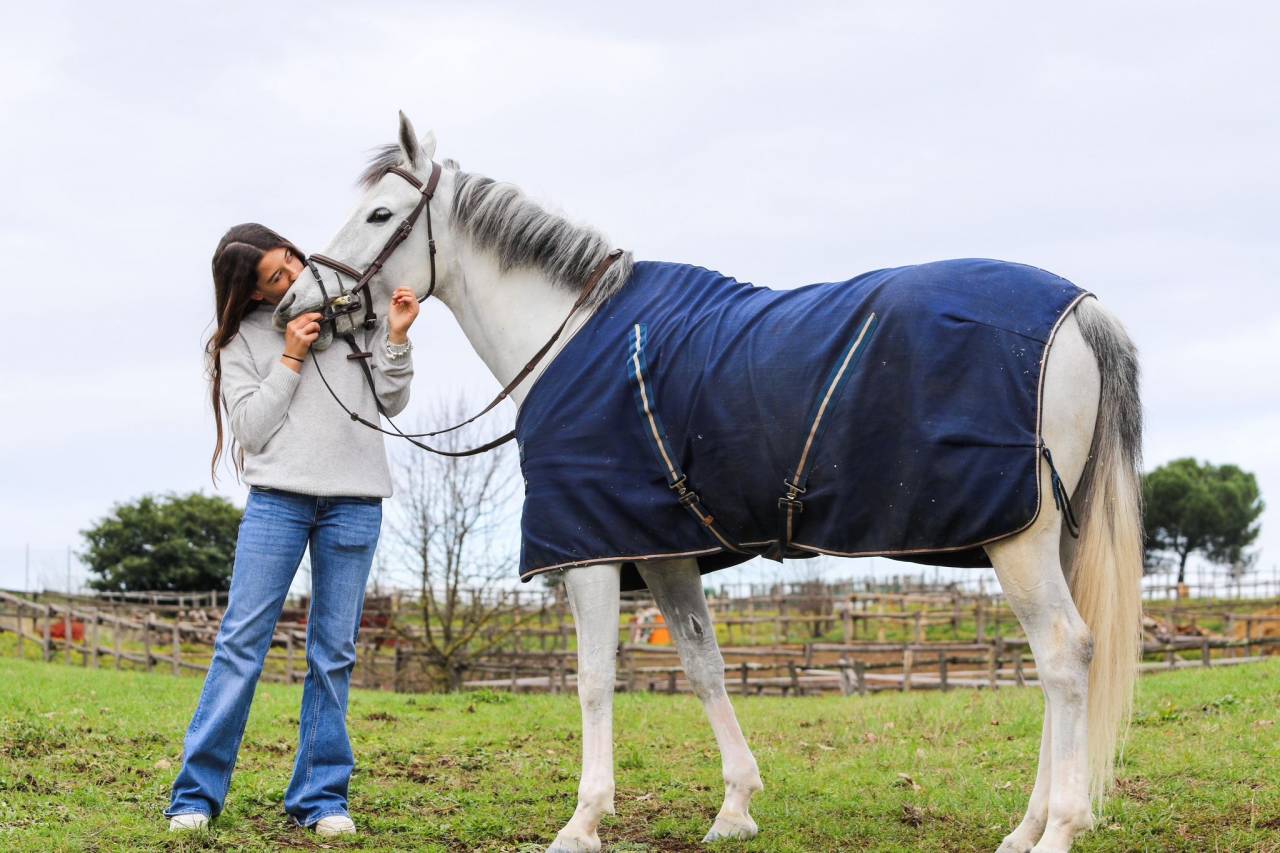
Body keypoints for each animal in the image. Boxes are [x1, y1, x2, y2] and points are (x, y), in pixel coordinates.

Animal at [274, 112, 1143, 853]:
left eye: (380, 215)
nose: (294, 305)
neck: (569, 337)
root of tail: (1078, 312)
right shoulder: (662, 550)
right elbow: (701, 665)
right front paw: (735, 806)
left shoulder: (590, 554)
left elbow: (593, 680)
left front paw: (584, 820)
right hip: (1047, 542)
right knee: (1053, 667)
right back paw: (1026, 826)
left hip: (1020, 544)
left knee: (1065, 655)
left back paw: (1059, 828)